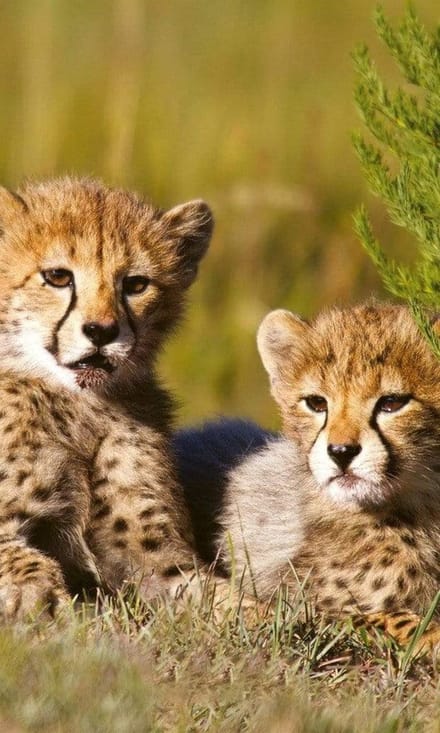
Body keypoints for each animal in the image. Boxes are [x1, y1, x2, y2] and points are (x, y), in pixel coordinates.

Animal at [0, 176, 213, 619]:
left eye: (135, 285)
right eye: (58, 277)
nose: (101, 331)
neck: (78, 405)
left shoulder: (152, 555)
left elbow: (220, 598)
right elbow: (22, 557)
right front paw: (37, 597)